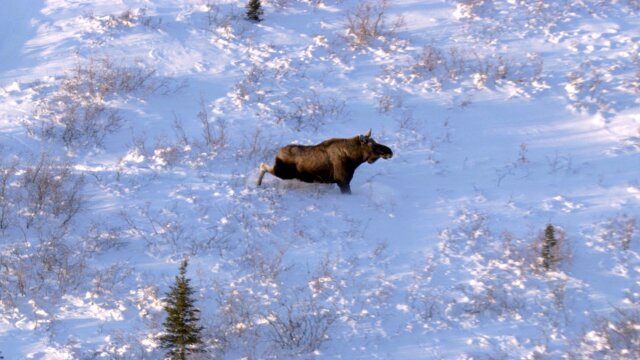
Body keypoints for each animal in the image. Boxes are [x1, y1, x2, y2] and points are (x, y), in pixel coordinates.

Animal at [258, 129, 392, 194]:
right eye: (371, 144)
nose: (389, 151)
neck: (355, 159)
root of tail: (278, 153)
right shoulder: (343, 181)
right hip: (284, 173)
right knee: (263, 165)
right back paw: (257, 183)